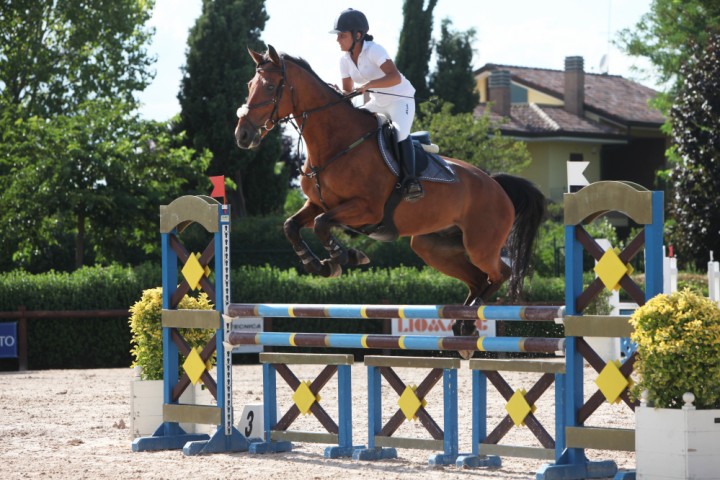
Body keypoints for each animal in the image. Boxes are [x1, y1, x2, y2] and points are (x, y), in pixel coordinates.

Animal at [236, 44, 544, 344]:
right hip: (433, 247)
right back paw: (463, 324)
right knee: (478, 279)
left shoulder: (366, 209)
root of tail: (495, 184)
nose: (243, 135)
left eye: (269, 87)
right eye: (249, 84)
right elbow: (291, 226)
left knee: (500, 273)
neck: (336, 143)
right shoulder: (317, 203)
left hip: (480, 245)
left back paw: (467, 323)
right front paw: (318, 264)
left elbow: (323, 225)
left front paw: (345, 257)